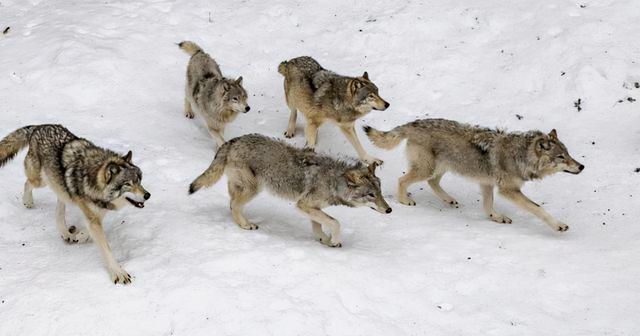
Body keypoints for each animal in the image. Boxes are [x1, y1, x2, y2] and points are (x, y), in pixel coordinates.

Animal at [0, 124, 151, 284]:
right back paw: (28, 201)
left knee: (59, 208)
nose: (147, 195)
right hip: (40, 181)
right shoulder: (93, 214)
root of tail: (38, 127)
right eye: (128, 184)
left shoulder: (98, 211)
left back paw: (66, 233)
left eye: (139, 181)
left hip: (59, 187)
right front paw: (118, 273)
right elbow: (106, 248)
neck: (93, 182)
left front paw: (81, 235)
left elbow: (90, 229)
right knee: (28, 183)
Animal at [188, 133, 392, 247]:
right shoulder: (303, 205)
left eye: (380, 192)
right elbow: (335, 222)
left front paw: (325, 241)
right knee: (234, 205)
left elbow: (319, 226)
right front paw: (333, 240)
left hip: (246, 188)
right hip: (254, 188)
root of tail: (232, 141)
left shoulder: (312, 208)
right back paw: (246, 225)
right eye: (371, 195)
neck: (333, 180)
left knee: (231, 203)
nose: (389, 209)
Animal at [362, 119, 584, 232]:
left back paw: (449, 200)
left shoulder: (487, 183)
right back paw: (405, 200)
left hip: (441, 167)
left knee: (432, 182)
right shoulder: (508, 191)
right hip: (428, 168)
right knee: (402, 180)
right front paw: (559, 225)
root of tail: (413, 123)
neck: (520, 155)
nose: (582, 166)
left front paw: (496, 218)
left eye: (568, 154)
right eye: (561, 157)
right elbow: (539, 209)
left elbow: (488, 206)